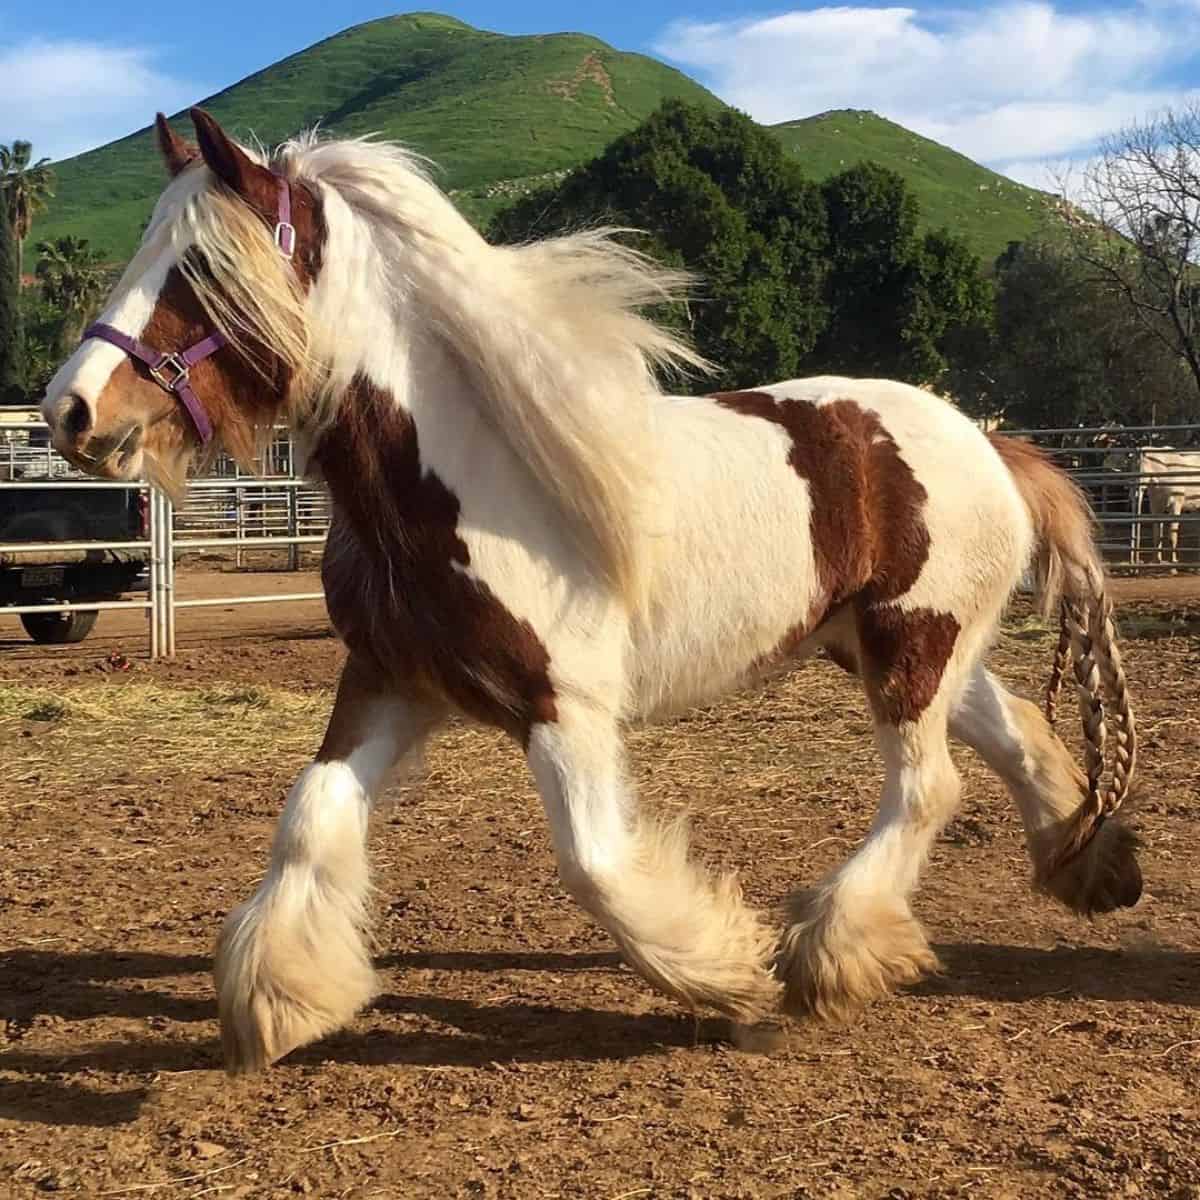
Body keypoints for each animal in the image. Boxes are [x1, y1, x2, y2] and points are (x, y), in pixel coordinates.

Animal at [39, 108, 1142, 1075]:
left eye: (198, 268)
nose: (69, 410)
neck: (470, 479)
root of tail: (989, 443)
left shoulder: (562, 707)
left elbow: (595, 863)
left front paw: (732, 979)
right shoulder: (391, 682)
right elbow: (309, 815)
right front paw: (278, 1002)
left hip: (912, 646)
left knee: (928, 787)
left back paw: (830, 955)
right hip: (895, 644)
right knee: (1016, 736)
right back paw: (1090, 866)